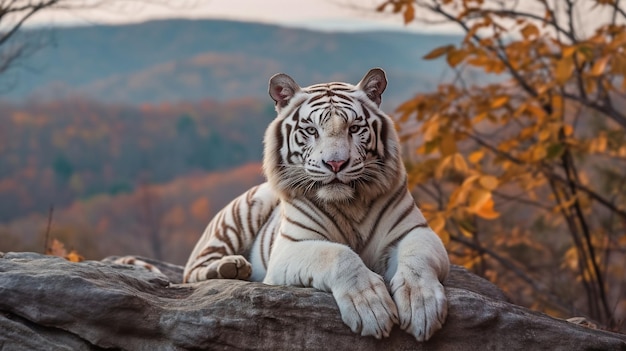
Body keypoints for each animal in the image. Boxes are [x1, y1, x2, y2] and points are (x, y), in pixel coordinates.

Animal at [182, 69, 448, 344]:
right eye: (311, 130)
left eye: (354, 128)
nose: (336, 163)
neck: (349, 203)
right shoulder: (291, 246)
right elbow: (339, 255)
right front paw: (372, 308)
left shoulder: (415, 231)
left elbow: (416, 261)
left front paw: (422, 307)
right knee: (193, 269)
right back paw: (231, 267)